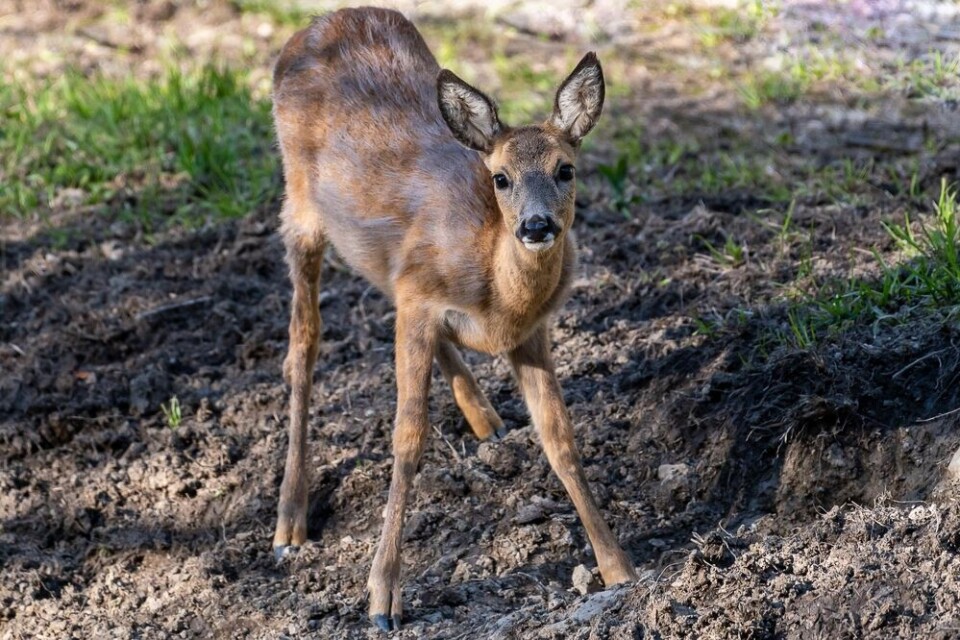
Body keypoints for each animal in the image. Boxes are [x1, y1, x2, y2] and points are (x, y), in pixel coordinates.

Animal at [274, 7, 636, 632]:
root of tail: (319, 22)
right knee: (304, 342)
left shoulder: (530, 331)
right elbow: (407, 438)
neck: (495, 291)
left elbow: (560, 436)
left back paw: (486, 418)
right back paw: (290, 520)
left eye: (566, 169)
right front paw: (382, 600)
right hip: (298, 207)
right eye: (501, 178)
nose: (536, 226)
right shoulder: (420, 298)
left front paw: (618, 567)